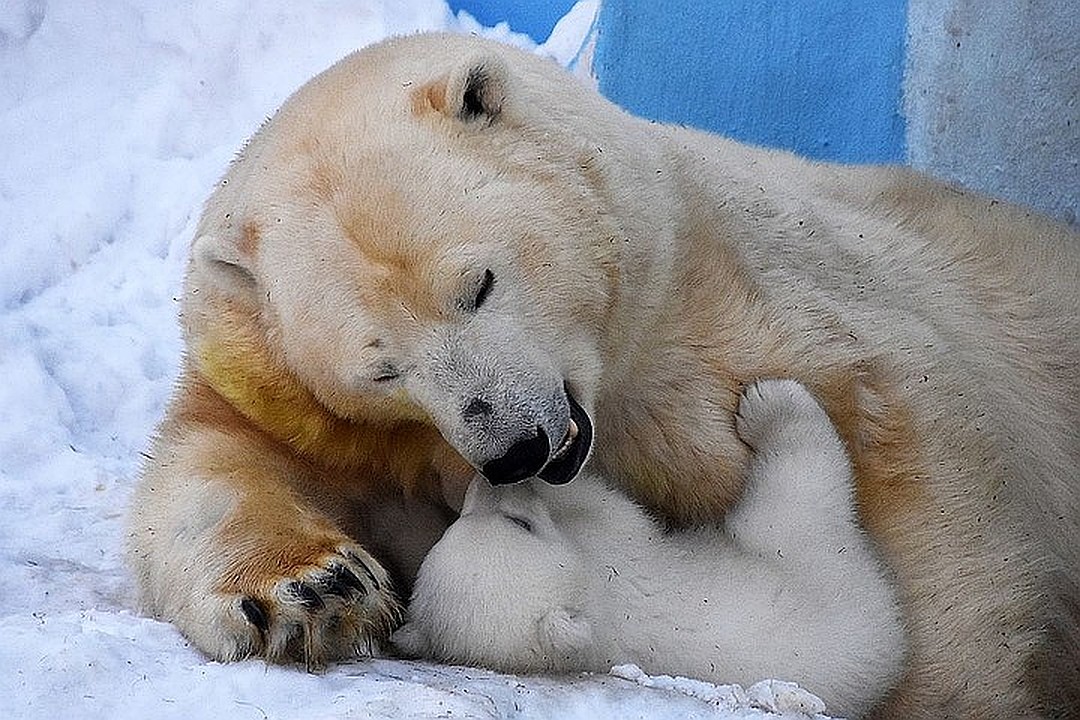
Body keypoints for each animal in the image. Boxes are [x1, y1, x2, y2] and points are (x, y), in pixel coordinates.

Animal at [126, 31, 1080, 716]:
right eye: (383, 369)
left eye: (478, 283)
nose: (513, 447)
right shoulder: (286, 393)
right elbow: (207, 470)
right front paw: (313, 591)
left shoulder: (746, 315)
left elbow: (918, 486)